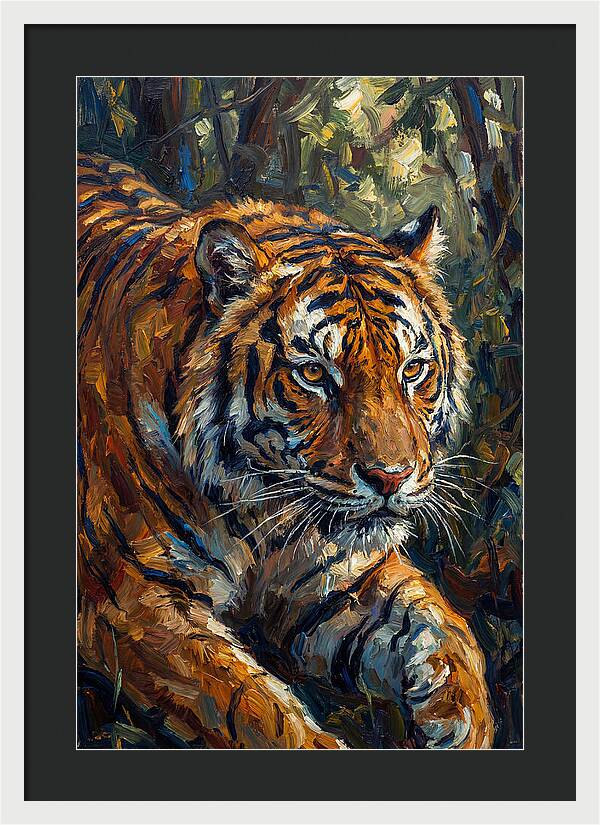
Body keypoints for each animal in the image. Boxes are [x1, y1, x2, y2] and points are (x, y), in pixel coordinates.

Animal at [77, 152, 493, 749]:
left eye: (413, 370)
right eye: (315, 375)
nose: (391, 478)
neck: (263, 515)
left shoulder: (342, 579)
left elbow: (447, 633)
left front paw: (463, 725)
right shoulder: (131, 601)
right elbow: (253, 709)